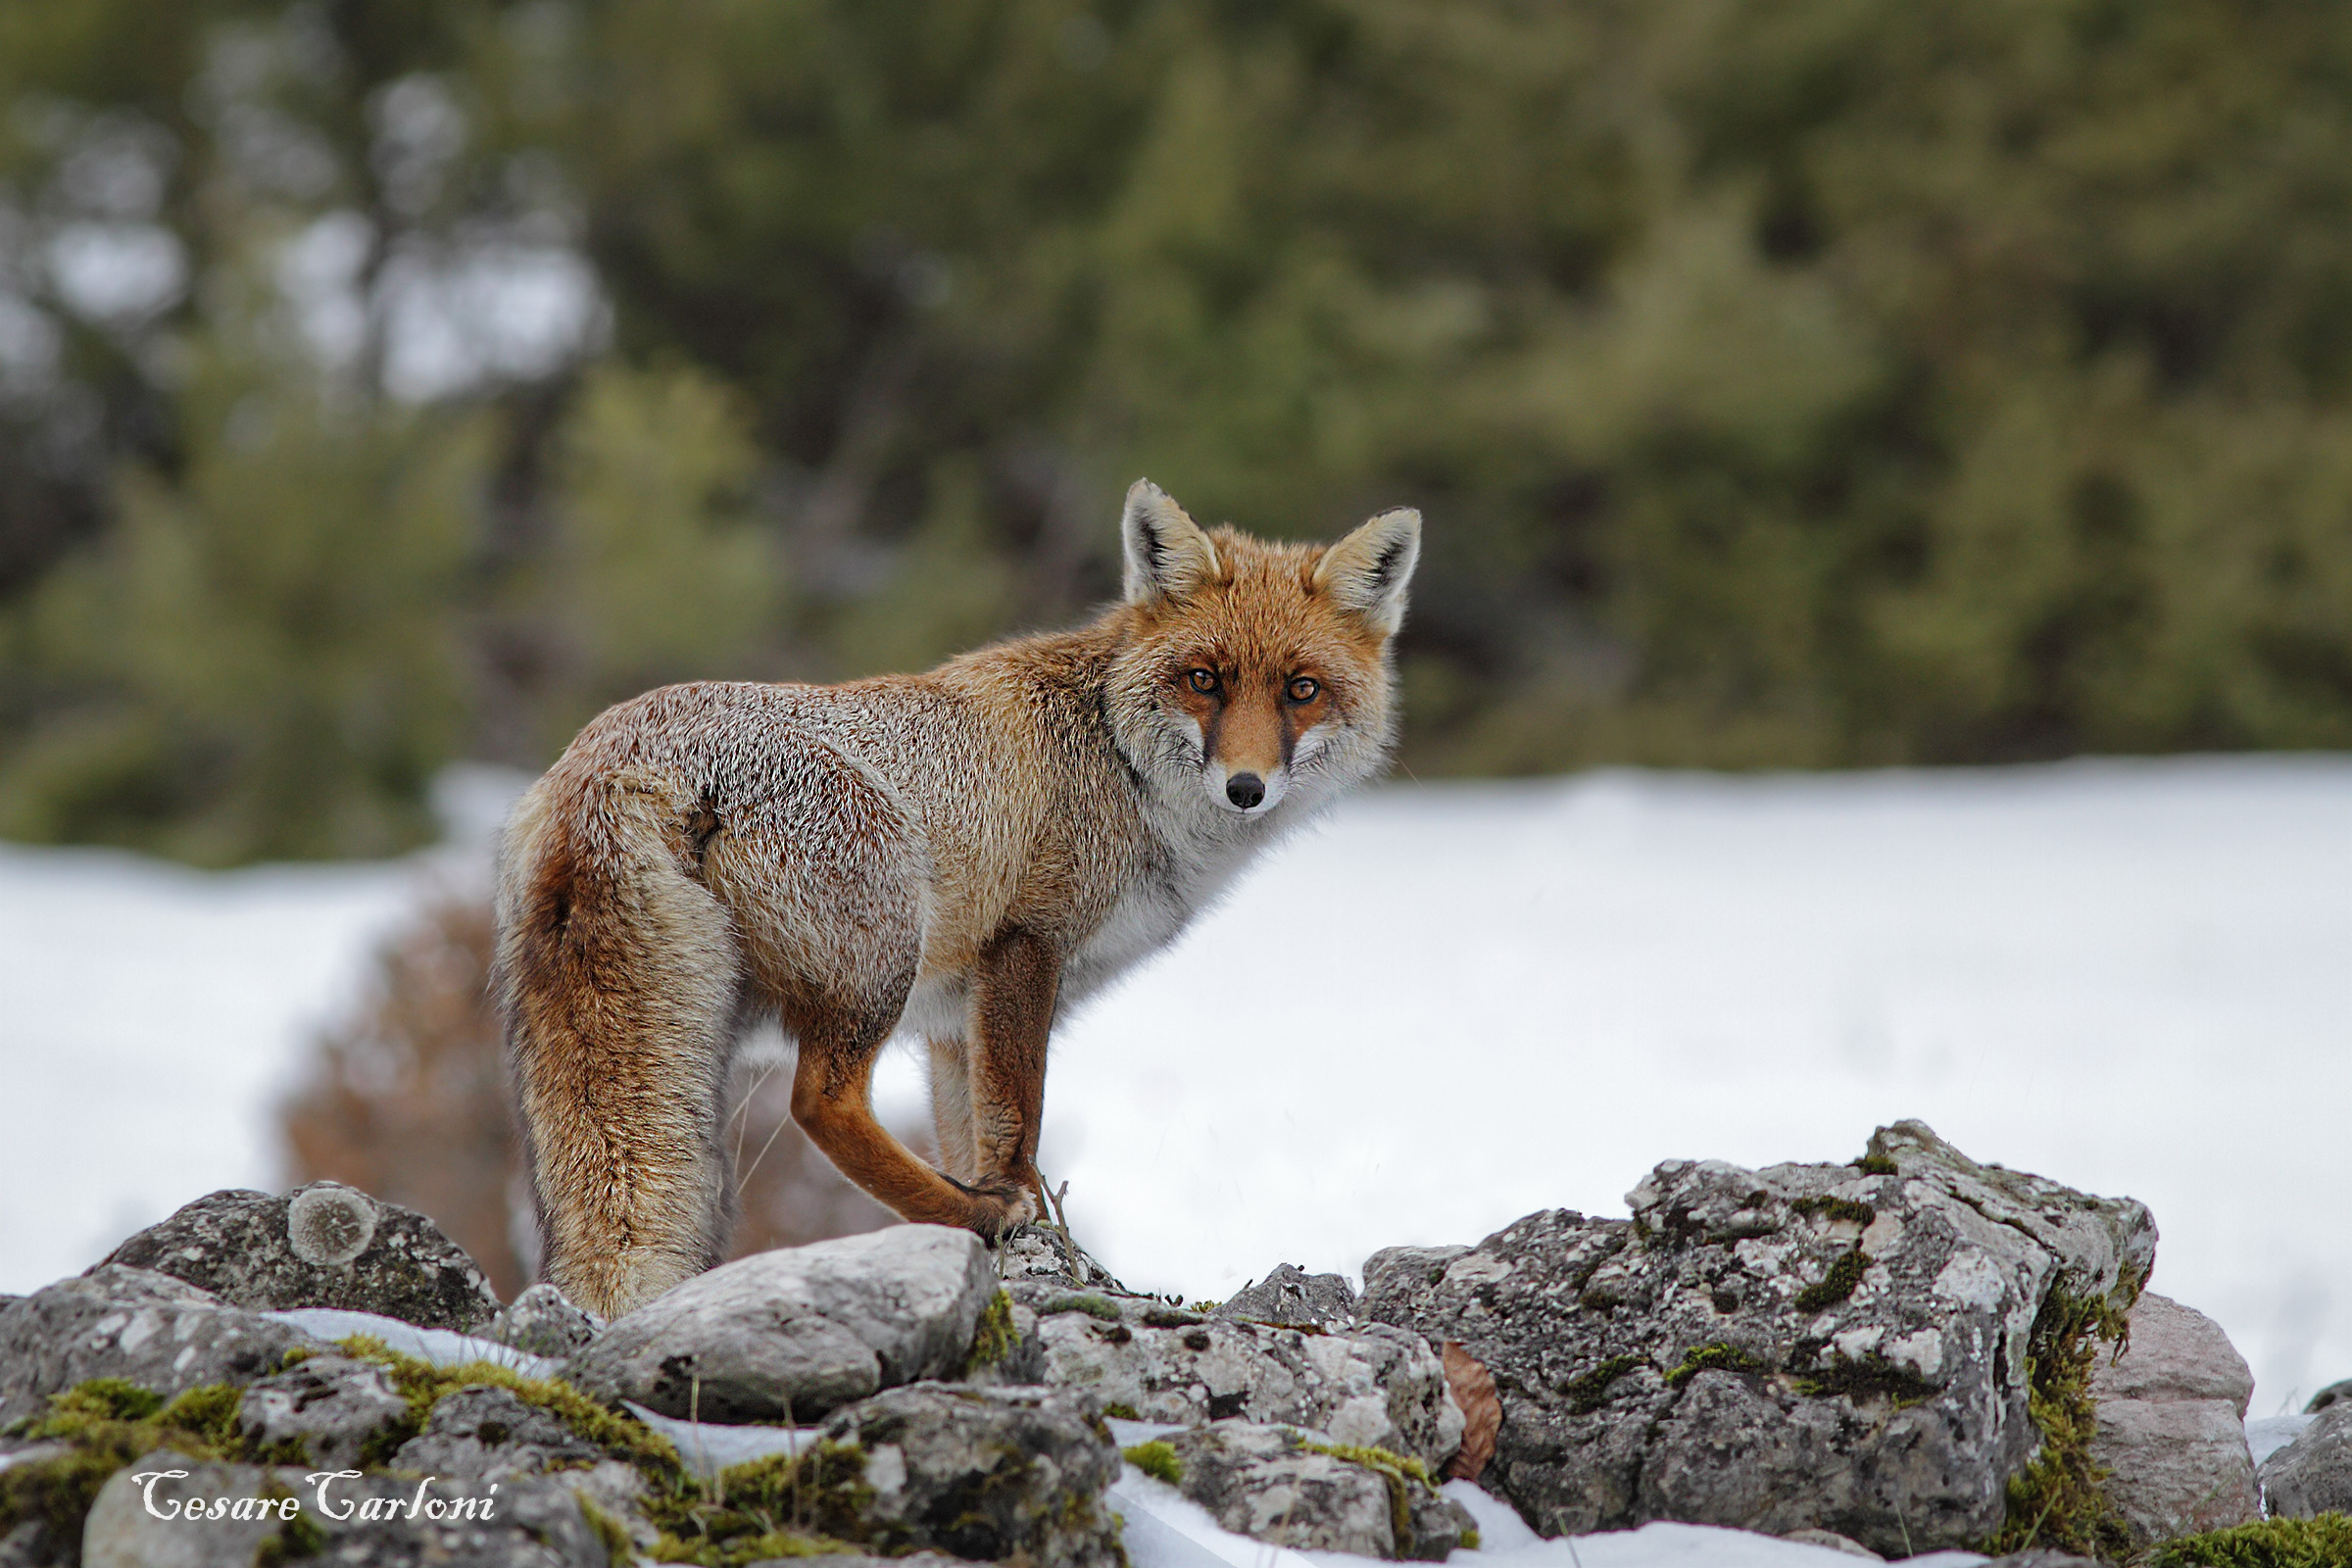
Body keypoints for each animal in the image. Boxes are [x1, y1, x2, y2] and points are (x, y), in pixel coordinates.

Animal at [494, 479, 1421, 1317]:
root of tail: (611, 760)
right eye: (1204, 680)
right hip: (879, 956)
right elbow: (1018, 1125)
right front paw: (1025, 1220)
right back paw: (975, 1213)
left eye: (1301, 690)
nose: (1245, 788)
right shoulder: (1027, 943)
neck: (1114, 753)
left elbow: (967, 1126)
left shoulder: (949, 1019)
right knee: (821, 1103)